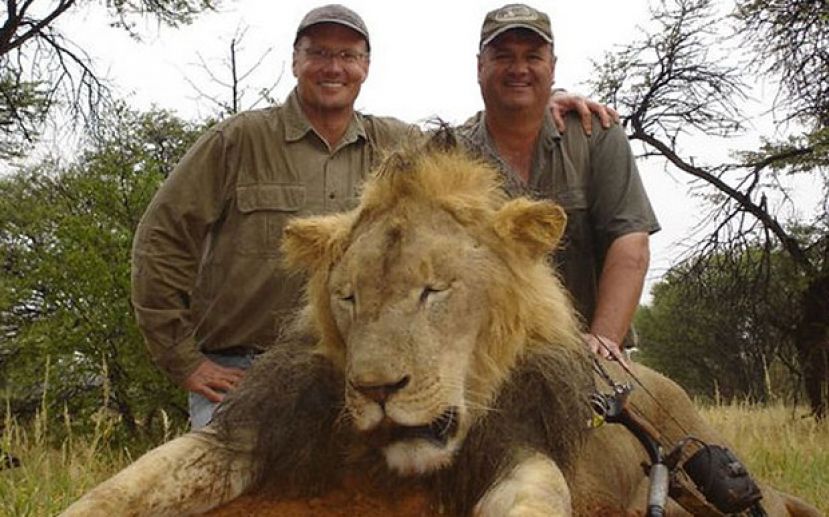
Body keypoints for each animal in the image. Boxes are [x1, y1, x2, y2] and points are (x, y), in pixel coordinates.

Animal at [59, 139, 820, 512]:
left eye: (434, 291)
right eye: (348, 298)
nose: (375, 389)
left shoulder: (520, 446)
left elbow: (536, 498)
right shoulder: (254, 432)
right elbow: (115, 491)